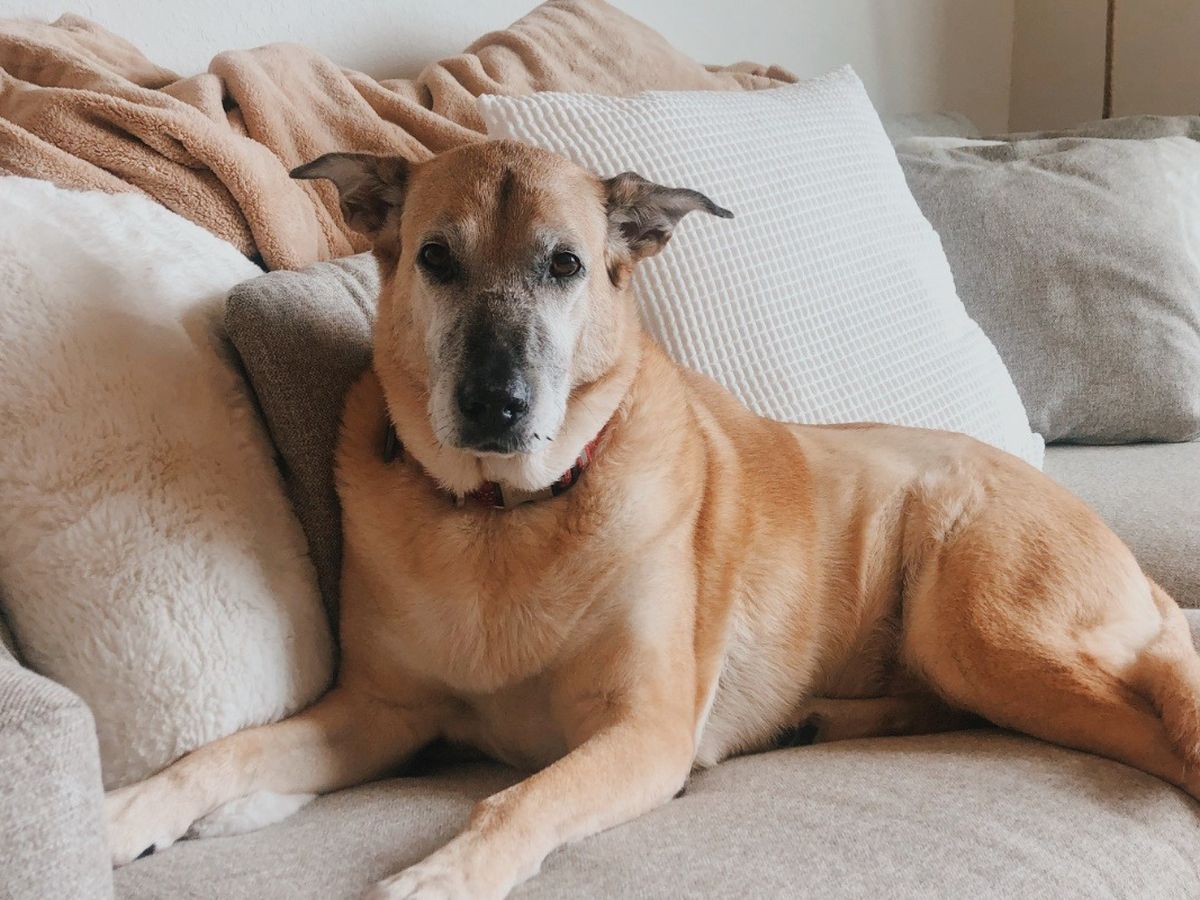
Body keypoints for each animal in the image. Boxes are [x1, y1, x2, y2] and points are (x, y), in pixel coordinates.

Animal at [106, 140, 1200, 899]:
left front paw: (440, 874)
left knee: (1147, 719)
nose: (496, 405)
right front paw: (127, 812)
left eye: (564, 265)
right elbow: (227, 750)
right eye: (435, 259)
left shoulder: (644, 728)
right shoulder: (379, 711)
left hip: (983, 628)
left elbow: (517, 797)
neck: (503, 517)